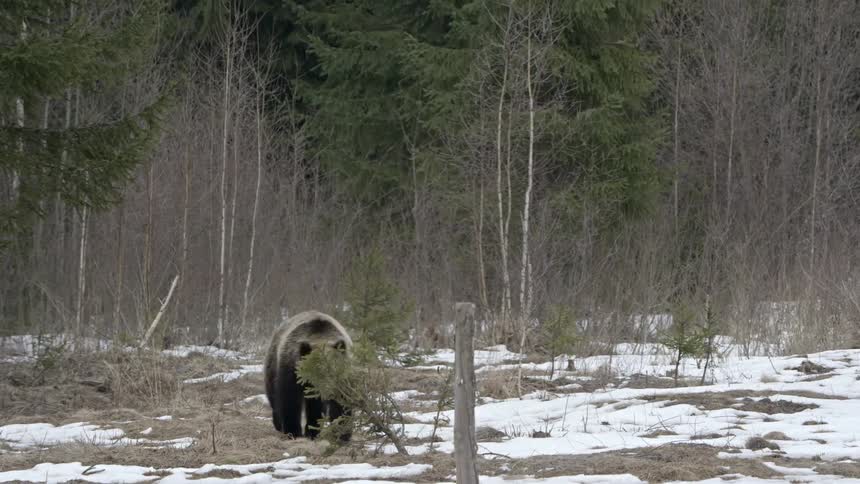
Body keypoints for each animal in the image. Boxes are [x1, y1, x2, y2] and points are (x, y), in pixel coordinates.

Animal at [264, 310, 352, 439]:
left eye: (333, 369)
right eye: (317, 370)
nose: (328, 391)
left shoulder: (343, 377)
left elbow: (342, 402)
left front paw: (341, 433)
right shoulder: (291, 369)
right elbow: (290, 399)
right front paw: (293, 431)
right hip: (273, 363)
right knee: (273, 395)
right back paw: (279, 424)